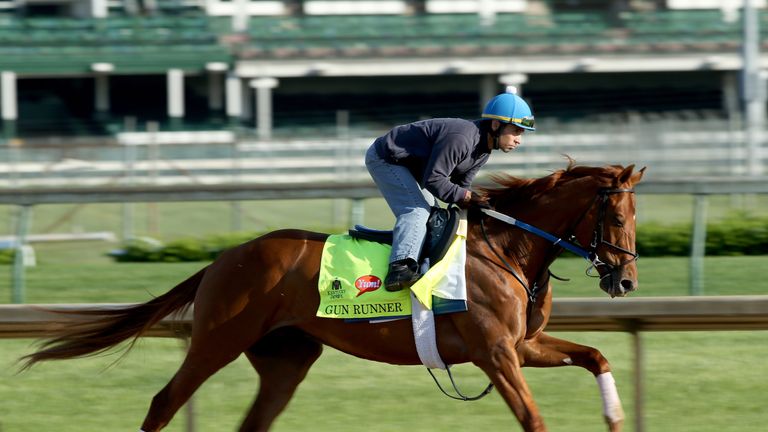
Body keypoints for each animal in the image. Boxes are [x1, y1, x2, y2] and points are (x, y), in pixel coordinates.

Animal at [22, 163, 640, 432]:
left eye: (634, 216)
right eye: (614, 216)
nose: (626, 282)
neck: (508, 247)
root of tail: (225, 257)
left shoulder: (521, 346)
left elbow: (597, 356)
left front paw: (614, 418)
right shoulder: (495, 352)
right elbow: (532, 417)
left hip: (286, 357)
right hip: (218, 339)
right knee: (163, 402)